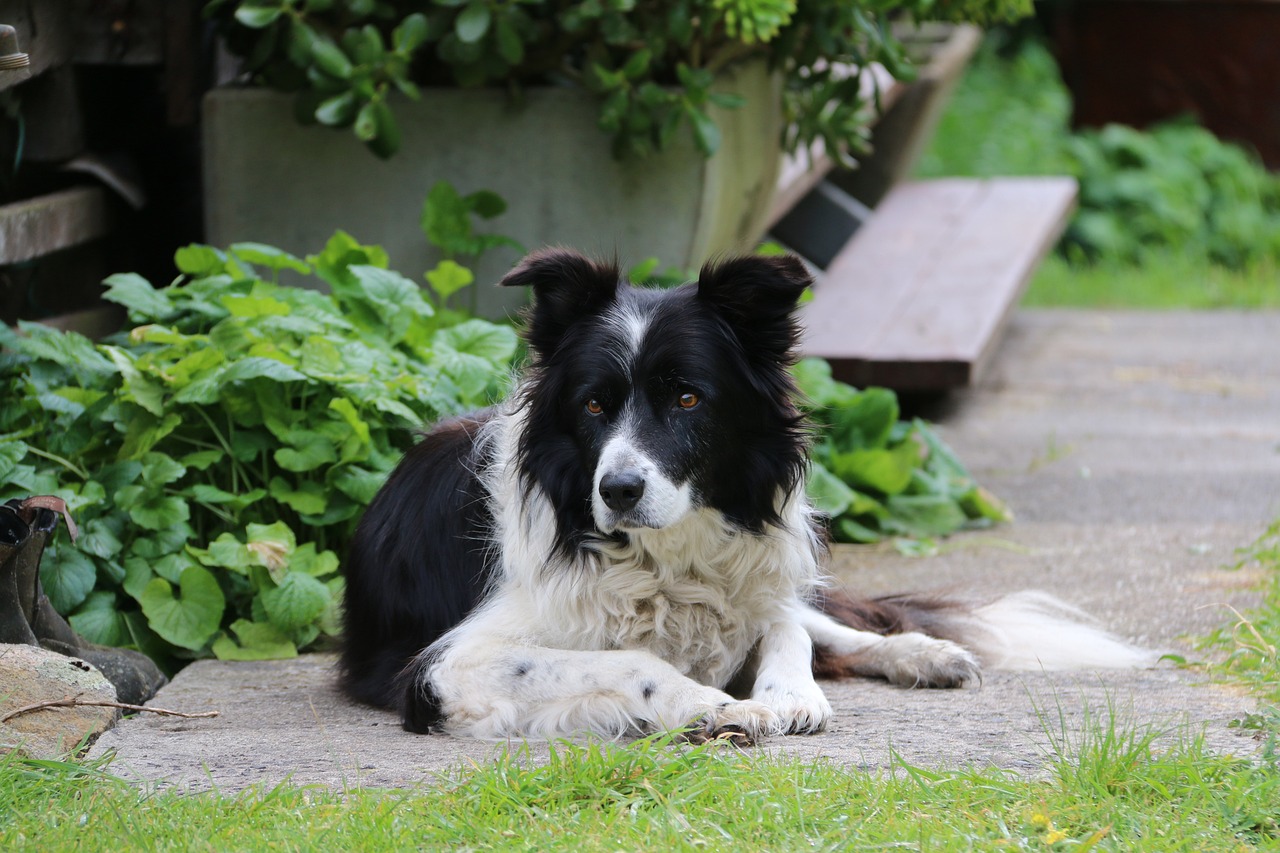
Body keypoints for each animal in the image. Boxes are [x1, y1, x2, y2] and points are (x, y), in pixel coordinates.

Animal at [337, 245, 1152, 737]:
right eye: (594, 406)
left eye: (687, 398)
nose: (618, 489)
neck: (666, 557)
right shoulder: (448, 667)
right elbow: (627, 661)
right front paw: (710, 704)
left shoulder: (757, 585)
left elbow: (789, 631)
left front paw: (788, 694)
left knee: (827, 625)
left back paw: (921, 652)